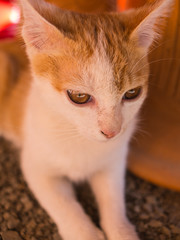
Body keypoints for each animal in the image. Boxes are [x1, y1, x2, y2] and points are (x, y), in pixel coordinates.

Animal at [0, 0, 174, 239]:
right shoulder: (35, 165)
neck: (78, 138)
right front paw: (85, 232)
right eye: (79, 97)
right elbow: (63, 204)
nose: (112, 131)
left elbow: (113, 198)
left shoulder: (114, 161)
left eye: (132, 93)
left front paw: (121, 231)